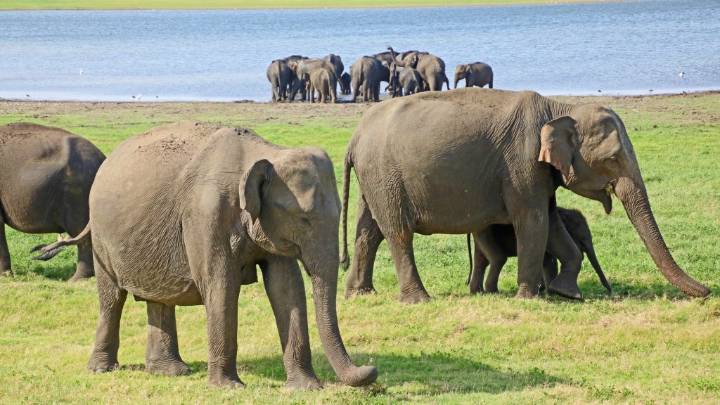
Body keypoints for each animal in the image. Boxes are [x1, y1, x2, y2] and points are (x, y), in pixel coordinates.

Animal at [35, 122, 377, 389]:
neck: (262, 153)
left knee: (159, 299)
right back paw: (102, 369)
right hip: (103, 239)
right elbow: (221, 285)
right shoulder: (206, 215)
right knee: (111, 299)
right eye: (304, 219)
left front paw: (306, 388)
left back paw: (171, 372)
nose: (371, 369)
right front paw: (229, 388)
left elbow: (286, 287)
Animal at [468, 206, 612, 295]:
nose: (610, 292)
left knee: (481, 261)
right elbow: (547, 260)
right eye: (579, 236)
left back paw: (478, 292)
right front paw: (549, 291)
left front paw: (546, 290)